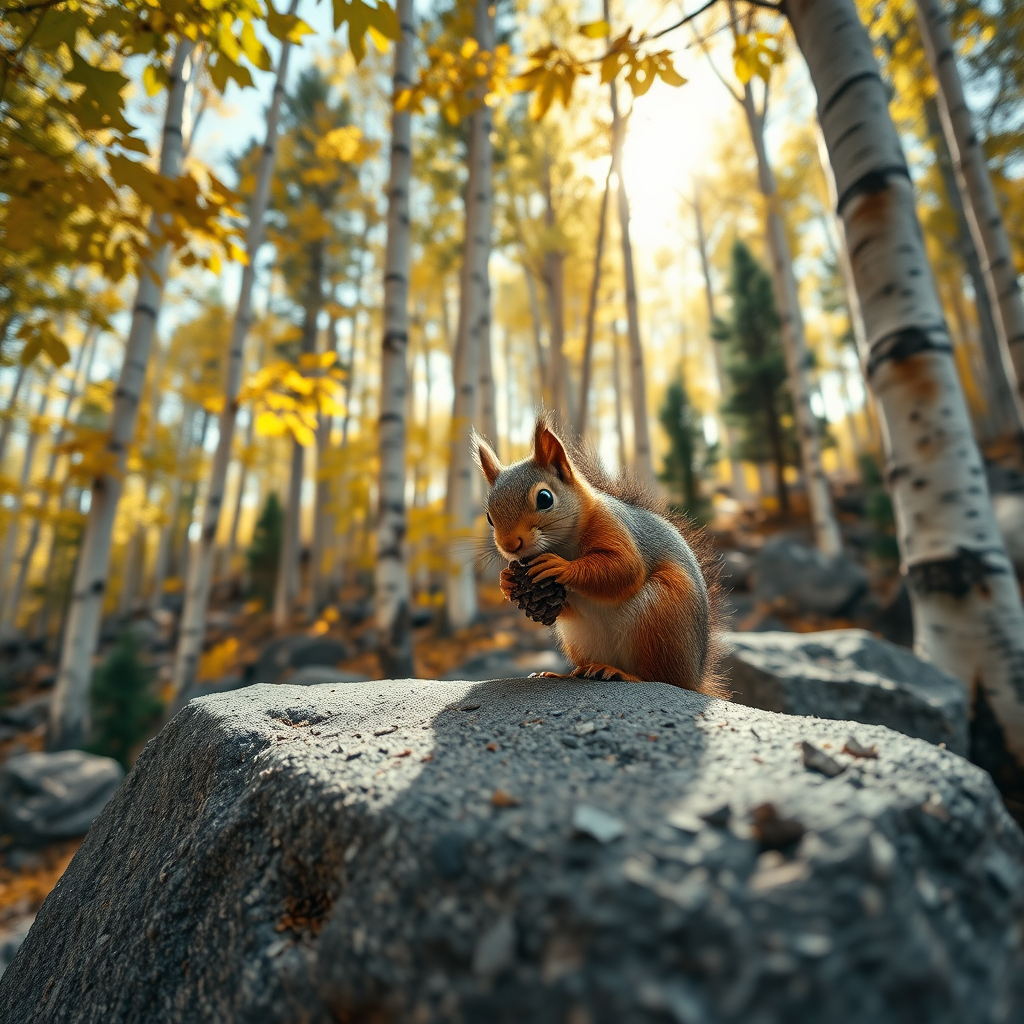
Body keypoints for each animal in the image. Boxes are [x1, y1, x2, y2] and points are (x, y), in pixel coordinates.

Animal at [473, 414, 724, 696]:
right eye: (489, 516)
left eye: (545, 498)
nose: (510, 545)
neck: (563, 546)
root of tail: (694, 677)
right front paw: (507, 581)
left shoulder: (613, 525)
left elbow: (623, 568)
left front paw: (561, 568)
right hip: (579, 638)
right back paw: (565, 673)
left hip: (661, 615)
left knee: (660, 677)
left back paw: (621, 674)